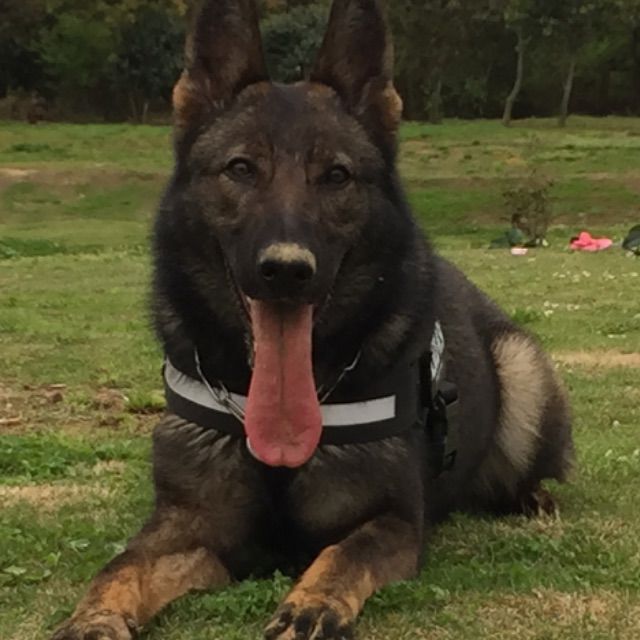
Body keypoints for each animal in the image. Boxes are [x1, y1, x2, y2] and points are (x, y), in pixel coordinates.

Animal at [51, 1, 574, 638]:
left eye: (337, 176)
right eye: (241, 168)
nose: (286, 270)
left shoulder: (394, 521)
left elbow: (345, 553)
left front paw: (313, 602)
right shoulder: (191, 529)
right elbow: (121, 565)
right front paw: (93, 616)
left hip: (520, 367)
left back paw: (532, 497)